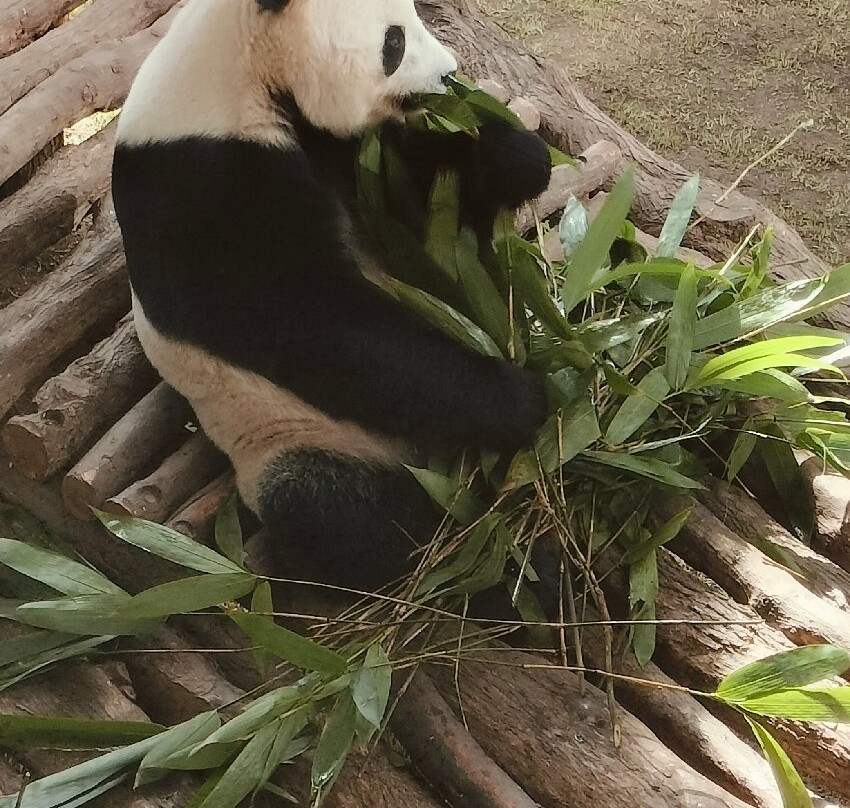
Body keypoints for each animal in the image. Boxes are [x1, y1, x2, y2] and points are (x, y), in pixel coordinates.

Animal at [111, 0, 553, 591]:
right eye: (394, 43)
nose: (448, 75)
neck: (243, 71)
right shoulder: (199, 181)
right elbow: (304, 320)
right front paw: (518, 398)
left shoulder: (349, 151)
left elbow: (419, 212)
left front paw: (514, 155)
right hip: (293, 437)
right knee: (345, 511)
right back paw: (484, 560)